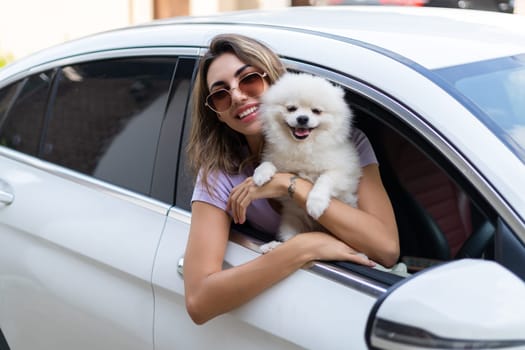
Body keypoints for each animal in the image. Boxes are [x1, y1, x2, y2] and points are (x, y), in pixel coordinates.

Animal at [253, 72, 360, 252]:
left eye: (316, 111)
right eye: (291, 108)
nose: (302, 118)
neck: (302, 146)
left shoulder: (342, 171)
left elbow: (324, 179)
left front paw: (316, 203)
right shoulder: (276, 159)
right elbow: (268, 163)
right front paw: (260, 174)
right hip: (291, 221)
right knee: (289, 241)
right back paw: (272, 246)